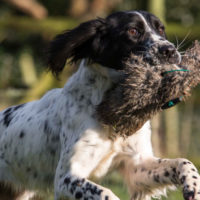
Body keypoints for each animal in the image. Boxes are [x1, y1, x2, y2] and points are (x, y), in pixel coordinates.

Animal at [0, 10, 200, 200]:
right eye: (133, 31)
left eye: (161, 29)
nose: (170, 50)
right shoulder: (65, 178)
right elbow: (106, 193)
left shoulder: (137, 166)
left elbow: (184, 162)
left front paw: (192, 187)